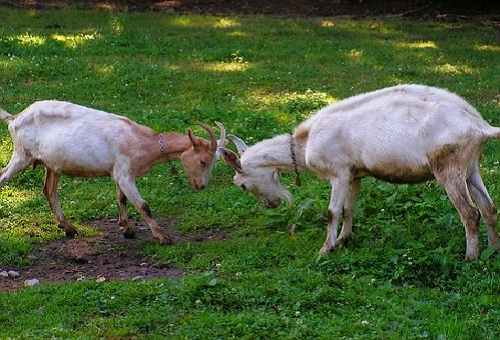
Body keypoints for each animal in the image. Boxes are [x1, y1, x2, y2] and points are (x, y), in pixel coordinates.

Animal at [0, 100, 227, 244]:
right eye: (202, 160)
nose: (201, 185)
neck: (143, 142)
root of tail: (15, 118)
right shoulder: (126, 175)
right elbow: (144, 206)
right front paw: (162, 237)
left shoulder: (118, 172)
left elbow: (121, 199)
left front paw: (127, 229)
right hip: (22, 155)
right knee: (4, 177)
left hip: (51, 164)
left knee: (49, 191)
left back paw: (68, 227)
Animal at [223, 85, 500, 260]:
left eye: (242, 185)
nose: (271, 205)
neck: (304, 143)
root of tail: (479, 126)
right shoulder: (354, 175)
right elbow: (349, 209)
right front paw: (343, 240)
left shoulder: (339, 174)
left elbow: (332, 212)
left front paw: (325, 250)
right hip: (471, 167)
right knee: (488, 207)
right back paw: (492, 249)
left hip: (449, 166)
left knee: (470, 213)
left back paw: (471, 257)